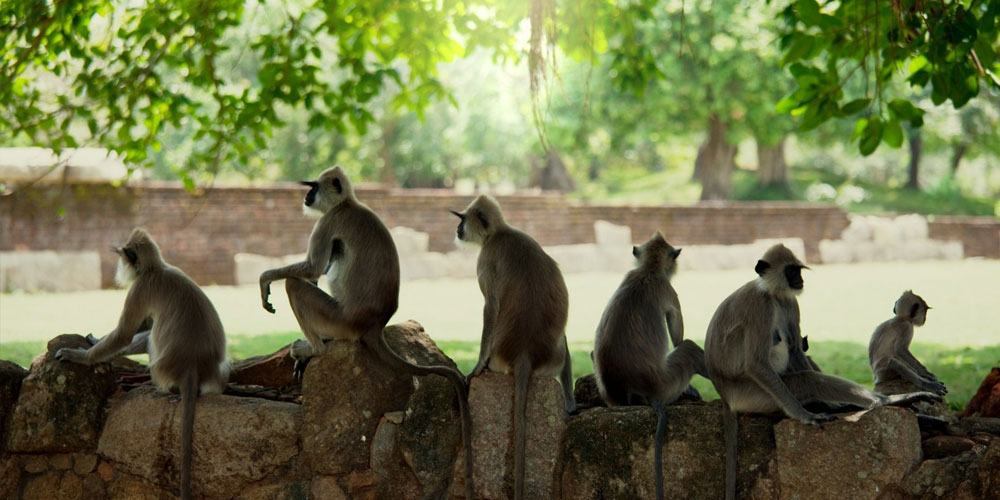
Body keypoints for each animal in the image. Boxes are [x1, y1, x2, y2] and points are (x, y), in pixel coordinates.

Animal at [55, 228, 228, 500]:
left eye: (123, 257)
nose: (118, 266)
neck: (157, 269)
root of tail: (193, 367)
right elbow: (140, 326)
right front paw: (95, 340)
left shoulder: (140, 287)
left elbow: (125, 334)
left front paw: (81, 355)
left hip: (161, 368)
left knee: (149, 337)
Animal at [258, 166, 474, 500]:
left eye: (313, 187)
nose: (306, 196)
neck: (348, 203)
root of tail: (374, 324)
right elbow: (316, 271)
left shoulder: (329, 220)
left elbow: (312, 268)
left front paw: (265, 279)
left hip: (338, 318)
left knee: (295, 283)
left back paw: (315, 349)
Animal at [451, 194, 575, 500]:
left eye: (463, 219)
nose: (458, 229)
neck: (500, 233)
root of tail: (524, 354)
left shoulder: (486, 258)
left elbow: (491, 306)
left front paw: (476, 367)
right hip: (552, 357)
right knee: (563, 340)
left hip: (499, 357)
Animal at [592, 231, 709, 500]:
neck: (648, 271)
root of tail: (637, 390)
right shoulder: (667, 289)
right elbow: (678, 336)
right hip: (667, 383)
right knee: (689, 348)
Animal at [704, 244, 941, 500]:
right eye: (790, 271)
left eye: (798, 270)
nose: (799, 279)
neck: (773, 294)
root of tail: (725, 396)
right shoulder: (761, 306)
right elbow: (756, 363)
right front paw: (804, 416)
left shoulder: (789, 302)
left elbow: (795, 349)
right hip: (752, 394)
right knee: (807, 380)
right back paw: (887, 400)